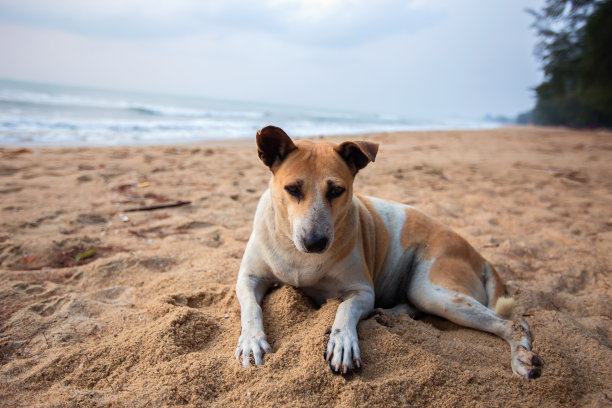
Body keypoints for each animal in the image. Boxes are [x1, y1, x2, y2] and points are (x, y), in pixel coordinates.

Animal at [234, 125, 540, 380]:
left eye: (336, 190)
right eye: (292, 189)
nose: (315, 242)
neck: (297, 254)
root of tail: (480, 256)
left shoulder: (362, 291)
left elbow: (344, 310)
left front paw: (342, 342)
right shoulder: (248, 279)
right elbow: (251, 307)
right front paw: (251, 341)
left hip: (432, 289)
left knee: (514, 324)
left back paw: (522, 358)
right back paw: (389, 315)